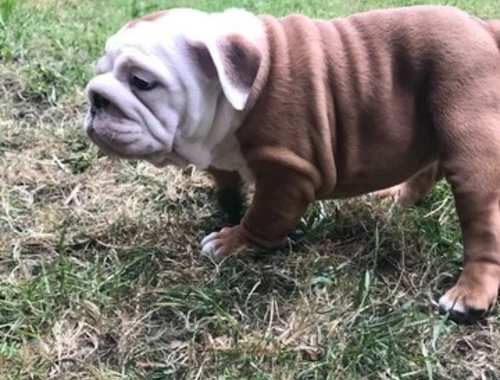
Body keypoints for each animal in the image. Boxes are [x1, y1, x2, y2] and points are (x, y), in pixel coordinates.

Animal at [85, 5, 500, 320]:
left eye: (141, 82)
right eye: (98, 72)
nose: (95, 98)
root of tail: (483, 28)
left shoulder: (287, 173)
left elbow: (264, 218)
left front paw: (233, 241)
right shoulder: (223, 156)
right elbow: (227, 183)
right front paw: (226, 207)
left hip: (468, 137)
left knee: (483, 222)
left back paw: (470, 295)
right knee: (427, 168)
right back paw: (399, 196)